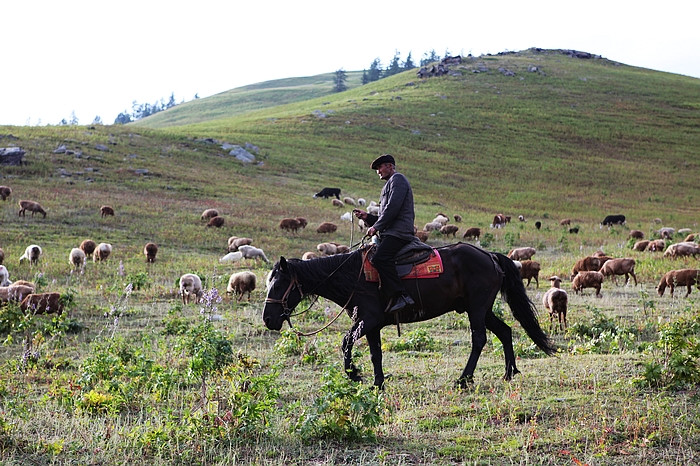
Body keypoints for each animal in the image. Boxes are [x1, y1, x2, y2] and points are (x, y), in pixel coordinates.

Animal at [264, 242, 556, 388]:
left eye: (278, 284)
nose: (268, 319)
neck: (351, 275)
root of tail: (490, 256)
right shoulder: (372, 325)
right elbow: (375, 353)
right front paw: (377, 382)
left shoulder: (368, 319)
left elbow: (346, 342)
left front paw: (354, 374)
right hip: (481, 309)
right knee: (505, 331)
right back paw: (509, 373)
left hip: (476, 309)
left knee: (479, 340)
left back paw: (464, 379)